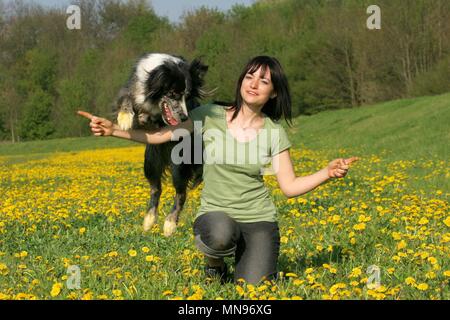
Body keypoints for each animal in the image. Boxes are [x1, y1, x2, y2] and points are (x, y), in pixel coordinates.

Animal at [114, 53, 209, 236]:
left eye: (188, 96)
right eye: (172, 93)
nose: (184, 118)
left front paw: (143, 117)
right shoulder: (134, 88)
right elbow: (126, 96)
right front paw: (125, 118)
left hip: (179, 164)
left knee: (181, 192)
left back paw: (170, 224)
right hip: (150, 161)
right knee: (155, 188)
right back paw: (149, 220)